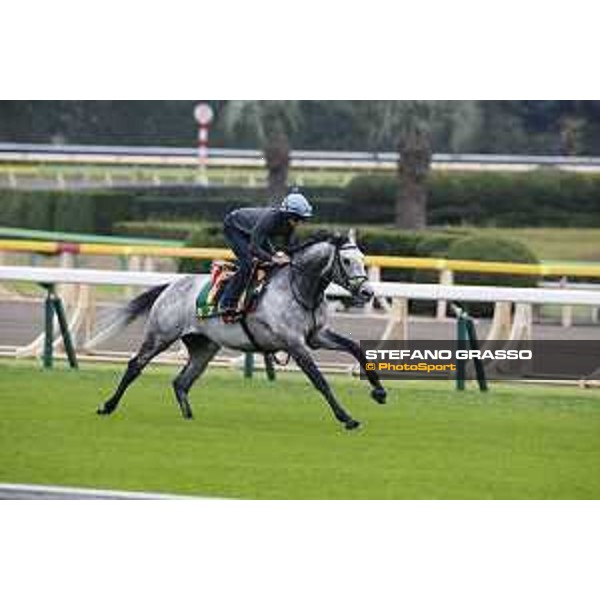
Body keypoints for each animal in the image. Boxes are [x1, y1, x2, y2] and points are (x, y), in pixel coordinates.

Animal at [96, 231, 386, 432]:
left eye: (363, 260)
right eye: (346, 260)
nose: (367, 292)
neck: (298, 288)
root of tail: (170, 286)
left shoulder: (316, 336)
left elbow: (356, 348)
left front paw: (379, 392)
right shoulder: (294, 343)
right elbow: (320, 380)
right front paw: (347, 418)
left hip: (204, 347)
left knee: (181, 382)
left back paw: (189, 417)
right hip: (160, 335)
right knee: (135, 365)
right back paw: (107, 406)